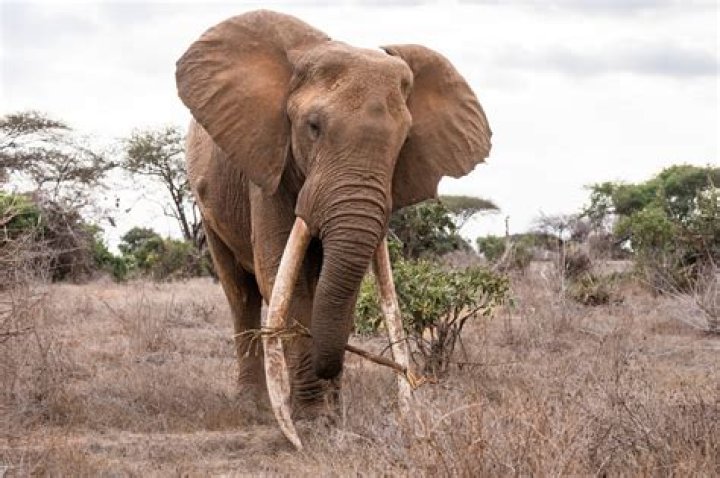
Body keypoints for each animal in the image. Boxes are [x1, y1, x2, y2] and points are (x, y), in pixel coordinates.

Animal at [175, 10, 491, 448]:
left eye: (403, 141)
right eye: (313, 127)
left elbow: (341, 285)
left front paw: (334, 419)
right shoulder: (268, 163)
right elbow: (280, 276)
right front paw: (309, 425)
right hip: (208, 205)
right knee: (240, 292)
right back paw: (253, 408)